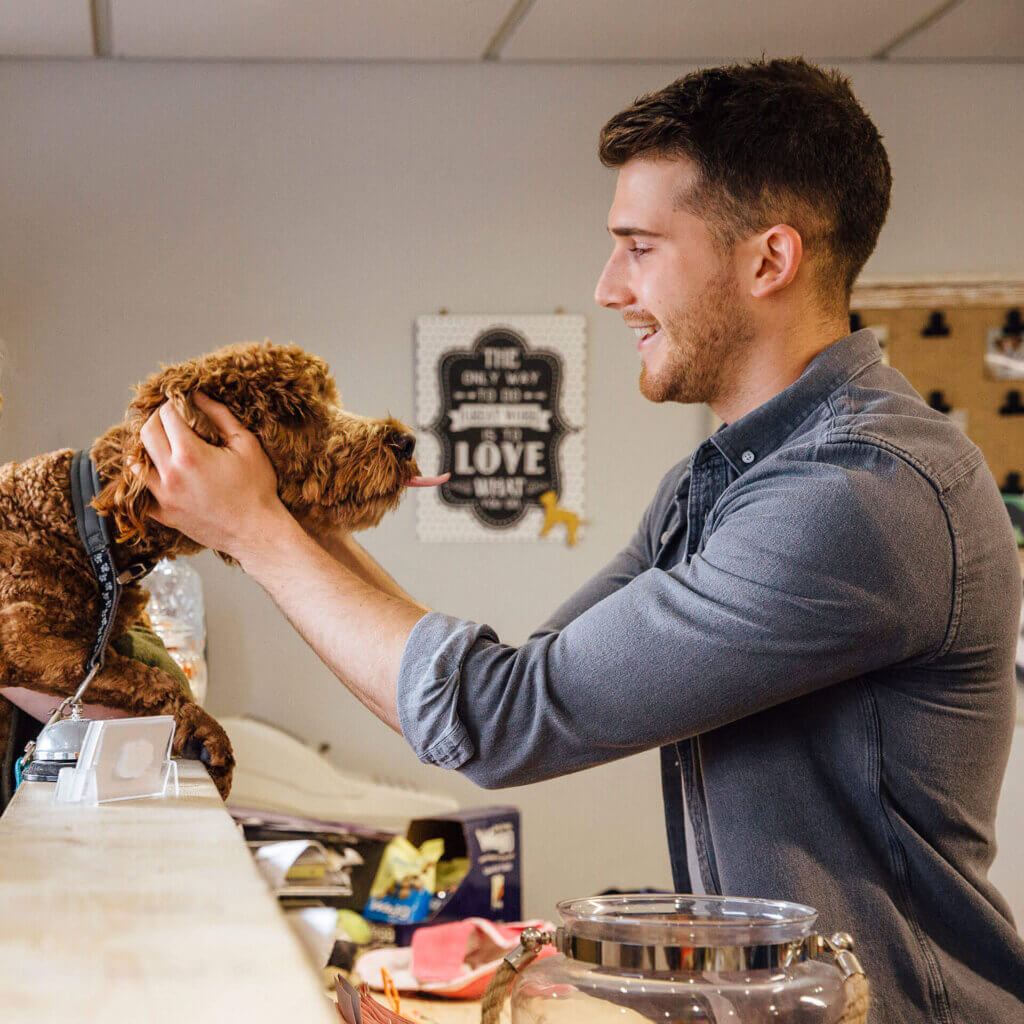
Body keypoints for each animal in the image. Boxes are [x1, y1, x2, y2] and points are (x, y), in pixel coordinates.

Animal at [0, 342, 423, 798]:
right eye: (294, 411)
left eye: (329, 397)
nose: (406, 440)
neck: (86, 523)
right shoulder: (23, 638)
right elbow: (149, 676)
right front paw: (206, 733)